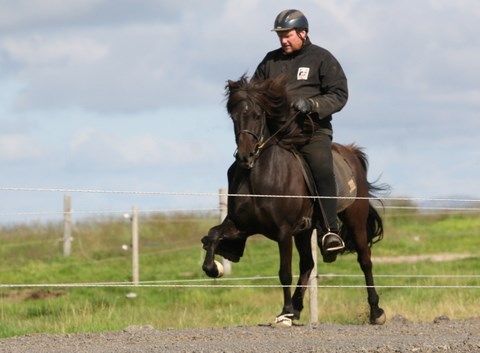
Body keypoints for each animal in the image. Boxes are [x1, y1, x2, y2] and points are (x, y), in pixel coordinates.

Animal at [202, 75, 386, 324]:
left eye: (257, 115)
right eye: (233, 116)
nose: (245, 157)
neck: (260, 177)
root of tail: (350, 152)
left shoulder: (283, 231)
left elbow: (284, 272)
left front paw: (285, 313)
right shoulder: (241, 225)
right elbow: (213, 235)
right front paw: (214, 268)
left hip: (355, 220)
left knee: (365, 260)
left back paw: (376, 311)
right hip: (304, 231)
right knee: (308, 264)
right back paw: (298, 307)